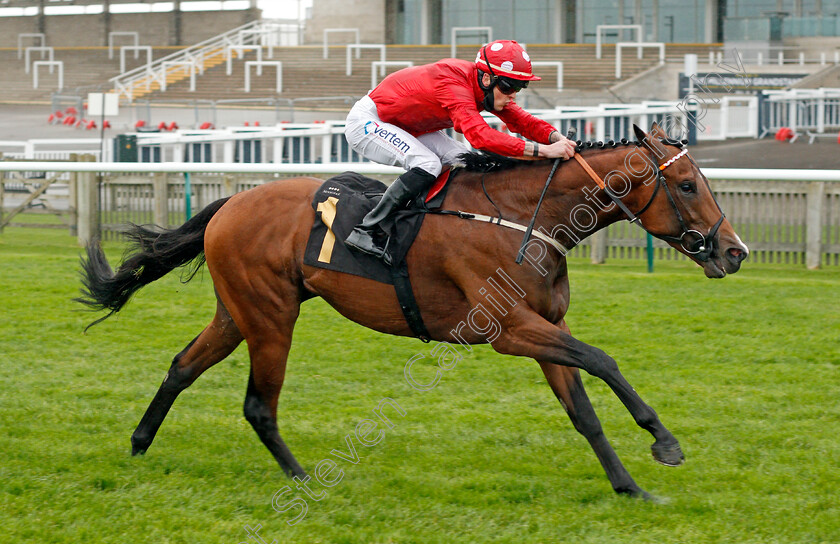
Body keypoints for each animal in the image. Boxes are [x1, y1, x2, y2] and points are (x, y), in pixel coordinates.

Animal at [77, 125, 748, 500]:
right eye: (687, 185)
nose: (735, 251)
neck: (522, 217)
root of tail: (231, 204)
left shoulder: (546, 328)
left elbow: (582, 410)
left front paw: (629, 486)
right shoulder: (510, 330)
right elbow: (604, 360)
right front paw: (664, 442)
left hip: (238, 311)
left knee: (183, 366)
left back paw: (138, 444)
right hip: (271, 317)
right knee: (258, 405)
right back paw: (302, 480)